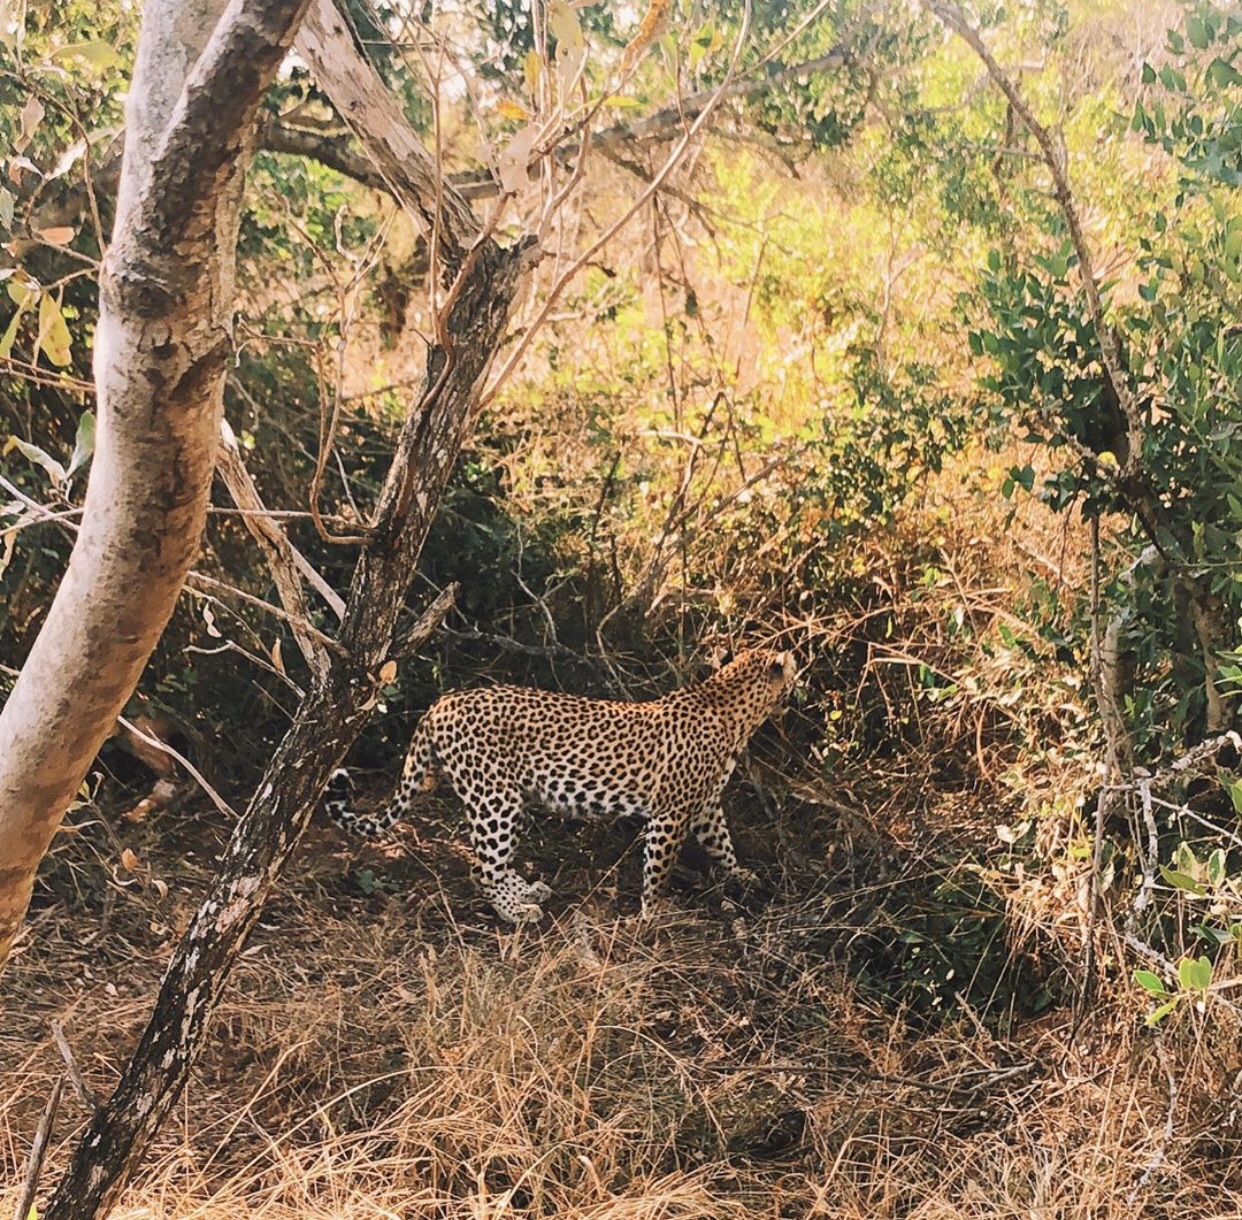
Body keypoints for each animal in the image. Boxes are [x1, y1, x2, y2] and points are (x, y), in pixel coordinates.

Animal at [327, 650, 794, 924]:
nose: (796, 688)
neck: (737, 713)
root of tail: (441, 703)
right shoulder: (671, 814)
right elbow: (658, 871)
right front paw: (651, 915)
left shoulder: (706, 805)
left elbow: (722, 843)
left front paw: (741, 874)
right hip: (494, 799)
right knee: (481, 868)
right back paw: (517, 912)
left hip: (510, 801)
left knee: (496, 863)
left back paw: (527, 890)